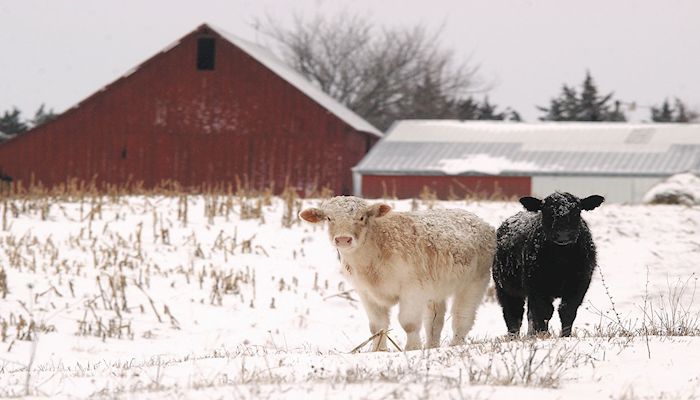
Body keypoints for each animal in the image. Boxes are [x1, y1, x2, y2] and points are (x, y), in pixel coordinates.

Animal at [492, 192, 600, 336]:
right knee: (513, 314)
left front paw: (565, 336)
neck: (561, 259)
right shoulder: (537, 286)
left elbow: (567, 311)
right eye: (547, 212)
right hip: (505, 288)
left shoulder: (579, 284)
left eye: (577, 211)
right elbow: (544, 312)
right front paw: (543, 335)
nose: (563, 235)